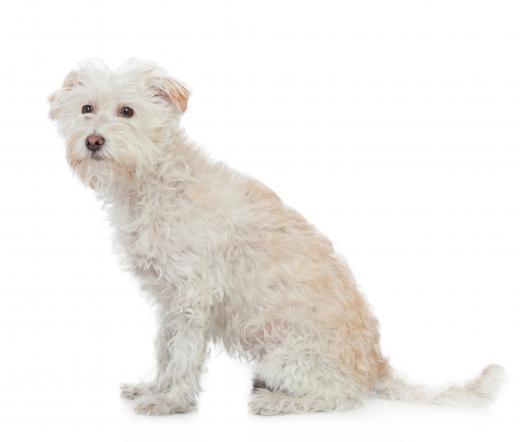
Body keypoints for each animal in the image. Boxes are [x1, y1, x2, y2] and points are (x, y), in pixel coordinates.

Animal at [47, 58, 504, 414]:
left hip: (284, 357)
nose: (93, 141)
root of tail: (377, 366)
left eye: (127, 110)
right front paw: (155, 388)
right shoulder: (168, 299)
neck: (155, 178)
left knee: (343, 397)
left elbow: (184, 354)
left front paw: (171, 401)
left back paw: (275, 401)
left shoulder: (193, 297)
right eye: (87, 108)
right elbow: (165, 348)